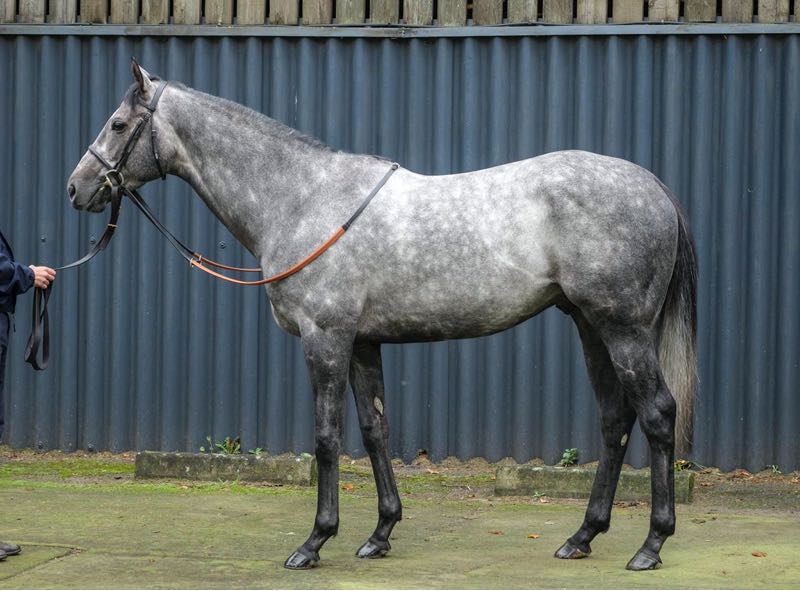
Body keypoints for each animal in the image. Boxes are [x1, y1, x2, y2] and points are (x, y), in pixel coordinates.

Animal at [67, 60, 697, 572]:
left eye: (118, 124)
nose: (77, 188)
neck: (302, 198)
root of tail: (654, 187)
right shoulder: (363, 343)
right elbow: (374, 431)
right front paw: (379, 534)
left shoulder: (325, 339)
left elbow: (326, 437)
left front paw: (314, 542)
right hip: (590, 325)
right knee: (615, 420)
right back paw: (582, 536)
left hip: (623, 329)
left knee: (657, 415)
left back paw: (651, 545)